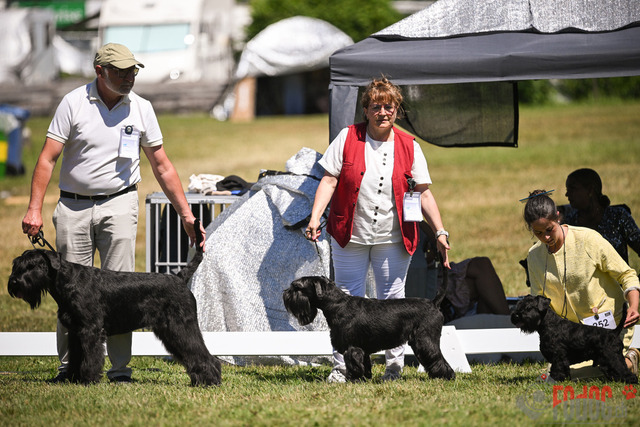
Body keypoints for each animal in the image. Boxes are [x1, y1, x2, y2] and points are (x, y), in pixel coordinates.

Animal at [8, 220, 222, 386]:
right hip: (169, 331)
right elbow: (76, 356)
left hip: (181, 326)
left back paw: (210, 381)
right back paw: (201, 380)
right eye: (16, 265)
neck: (68, 281)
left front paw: (88, 380)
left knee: (202, 353)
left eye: (32, 265)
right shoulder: (76, 331)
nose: (15, 282)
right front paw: (73, 379)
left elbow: (90, 357)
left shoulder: (90, 330)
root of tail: (180, 277)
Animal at [282, 275, 455, 382]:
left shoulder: (352, 348)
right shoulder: (363, 350)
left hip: (425, 341)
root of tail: (434, 303)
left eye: (297, 287)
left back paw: (447, 377)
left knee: (436, 357)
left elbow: (353, 365)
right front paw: (364, 379)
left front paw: (353, 381)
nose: (285, 293)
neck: (337, 305)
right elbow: (364, 366)